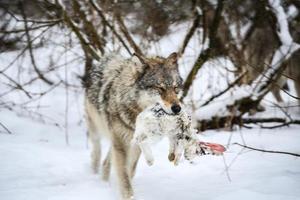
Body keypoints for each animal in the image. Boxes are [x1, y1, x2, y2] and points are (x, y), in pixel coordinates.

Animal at [84, 52, 183, 199]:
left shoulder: (136, 144)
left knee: (107, 162)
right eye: (160, 88)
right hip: (97, 130)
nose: (177, 108)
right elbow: (124, 176)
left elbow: (130, 171)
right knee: (96, 151)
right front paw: (128, 196)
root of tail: (106, 58)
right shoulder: (121, 143)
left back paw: (105, 182)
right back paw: (95, 174)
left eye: (176, 88)